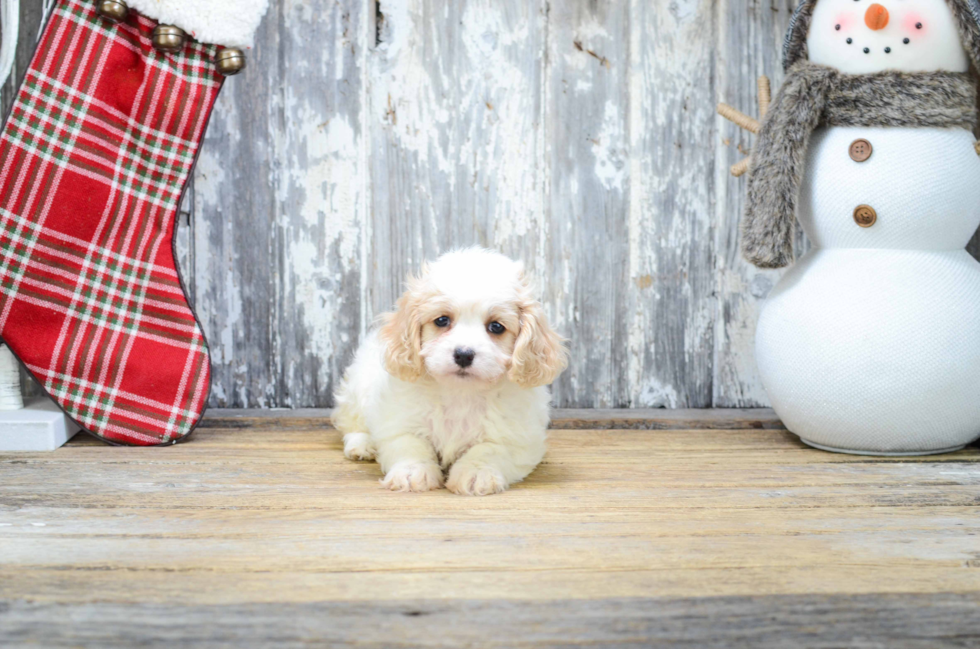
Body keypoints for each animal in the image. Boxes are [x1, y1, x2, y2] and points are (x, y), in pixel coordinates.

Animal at [336, 248, 568, 496]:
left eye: (496, 327)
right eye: (442, 320)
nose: (464, 354)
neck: (459, 392)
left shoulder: (518, 438)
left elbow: (490, 450)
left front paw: (476, 473)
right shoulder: (398, 422)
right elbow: (410, 444)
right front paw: (412, 472)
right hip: (358, 388)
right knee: (352, 423)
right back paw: (362, 445)